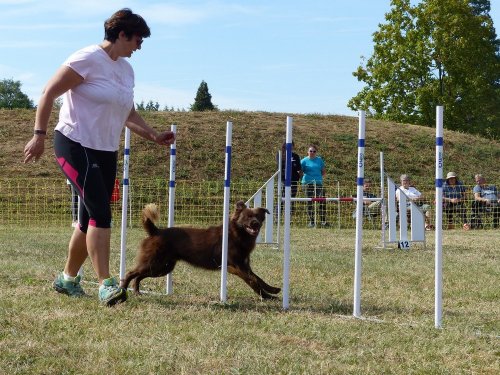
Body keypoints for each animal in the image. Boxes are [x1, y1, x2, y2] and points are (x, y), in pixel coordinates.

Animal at [119, 201, 280, 302]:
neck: (236, 234)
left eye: (258, 217)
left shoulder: (244, 266)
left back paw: (137, 292)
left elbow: (259, 279)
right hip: (155, 263)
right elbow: (253, 281)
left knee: (139, 276)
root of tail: (156, 231)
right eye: (247, 217)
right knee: (131, 273)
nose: (255, 224)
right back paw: (123, 291)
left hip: (162, 268)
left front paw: (271, 292)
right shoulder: (234, 267)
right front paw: (267, 296)